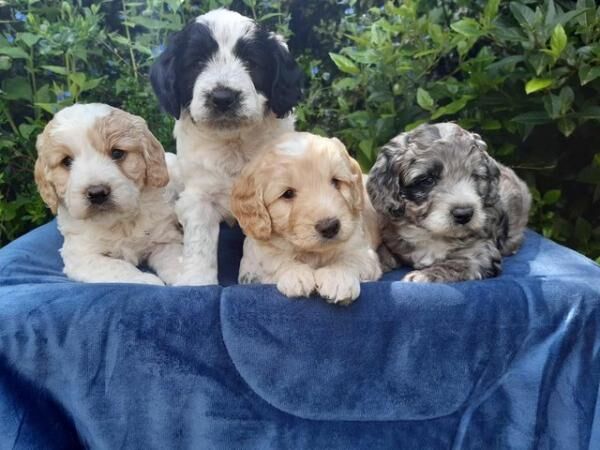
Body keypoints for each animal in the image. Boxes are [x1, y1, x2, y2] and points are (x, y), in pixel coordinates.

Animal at [34, 103, 183, 284]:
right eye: (66, 161)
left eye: (117, 153)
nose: (97, 193)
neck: (120, 222)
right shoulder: (81, 256)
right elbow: (118, 267)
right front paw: (147, 281)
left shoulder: (164, 240)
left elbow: (177, 260)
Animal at [148, 7, 302, 284]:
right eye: (197, 64)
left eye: (251, 63)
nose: (222, 97)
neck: (233, 143)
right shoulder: (198, 196)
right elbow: (199, 242)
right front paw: (197, 280)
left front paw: (253, 274)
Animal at [230, 132, 380, 304]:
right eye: (288, 194)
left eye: (336, 182)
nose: (330, 227)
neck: (312, 252)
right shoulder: (252, 265)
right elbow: (273, 260)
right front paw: (295, 274)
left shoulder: (363, 251)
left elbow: (351, 258)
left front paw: (338, 276)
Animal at [366, 122, 528, 282]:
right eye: (428, 180)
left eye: (475, 176)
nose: (464, 214)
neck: (432, 234)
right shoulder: (391, 237)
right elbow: (382, 252)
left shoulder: (481, 252)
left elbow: (457, 264)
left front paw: (422, 276)